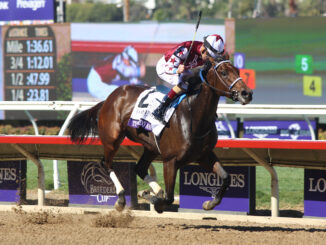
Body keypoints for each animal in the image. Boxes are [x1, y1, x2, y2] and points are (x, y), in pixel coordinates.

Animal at [68, 56, 252, 213]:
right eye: (223, 72)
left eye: (237, 70)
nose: (247, 93)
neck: (194, 117)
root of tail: (109, 98)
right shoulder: (170, 161)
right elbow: (169, 198)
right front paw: (153, 200)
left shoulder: (203, 155)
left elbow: (226, 177)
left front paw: (210, 203)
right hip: (112, 139)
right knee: (106, 164)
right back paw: (121, 199)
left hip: (151, 147)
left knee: (139, 168)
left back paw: (154, 190)